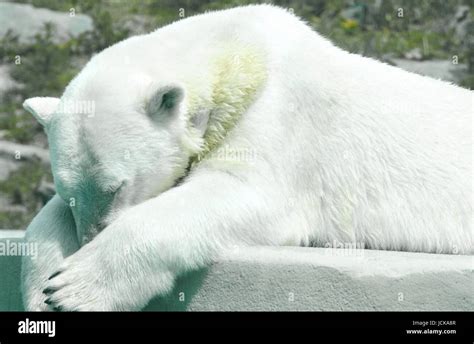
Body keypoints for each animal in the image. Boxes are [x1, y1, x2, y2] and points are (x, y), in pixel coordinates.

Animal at [20, 4, 472, 312]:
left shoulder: (282, 120)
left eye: (116, 187)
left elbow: (241, 191)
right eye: (71, 192)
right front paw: (44, 290)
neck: (243, 55)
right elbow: (47, 218)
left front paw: (74, 287)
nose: (90, 237)